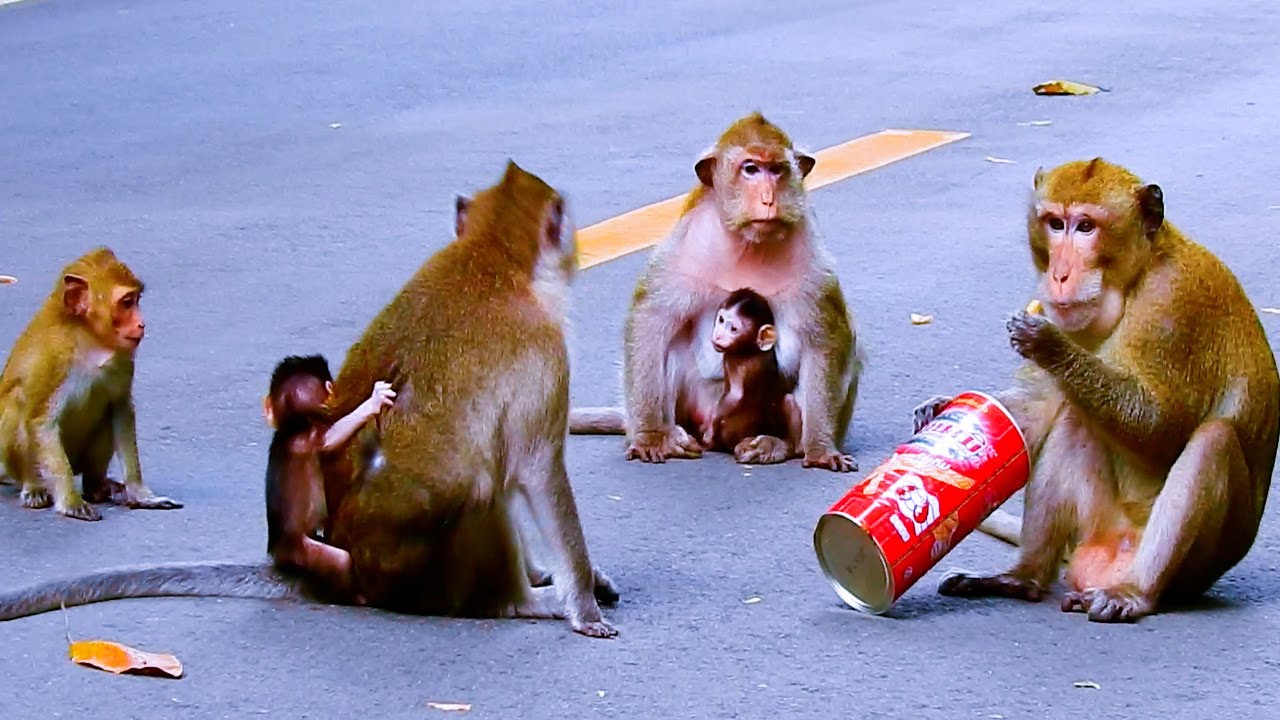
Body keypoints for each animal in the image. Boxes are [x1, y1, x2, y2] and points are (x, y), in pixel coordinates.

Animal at [0, 246, 181, 521]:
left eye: (136, 300)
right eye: (126, 303)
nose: (142, 323)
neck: (87, 337)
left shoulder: (122, 357)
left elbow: (121, 408)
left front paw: (140, 494)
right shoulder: (53, 358)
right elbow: (41, 422)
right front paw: (71, 501)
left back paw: (97, 486)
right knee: (18, 402)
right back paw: (34, 486)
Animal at [261, 354, 395, 603]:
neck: (293, 426)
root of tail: (277, 552)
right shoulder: (308, 437)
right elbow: (331, 437)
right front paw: (373, 402)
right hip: (303, 552)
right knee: (339, 561)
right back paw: (357, 597)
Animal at [697, 288, 803, 457]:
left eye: (733, 329)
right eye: (721, 320)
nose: (718, 335)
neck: (751, 348)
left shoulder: (735, 362)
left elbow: (735, 395)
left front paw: (709, 432)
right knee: (788, 400)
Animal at [912, 158, 1279, 622]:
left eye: (1086, 227)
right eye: (1055, 223)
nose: (1059, 274)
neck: (1138, 273)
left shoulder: (1173, 305)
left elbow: (1163, 429)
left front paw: (1049, 345)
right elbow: (1039, 408)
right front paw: (943, 411)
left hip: (1191, 568)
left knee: (1213, 438)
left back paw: (1134, 593)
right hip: (1100, 524)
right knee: (1073, 416)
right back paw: (1021, 578)